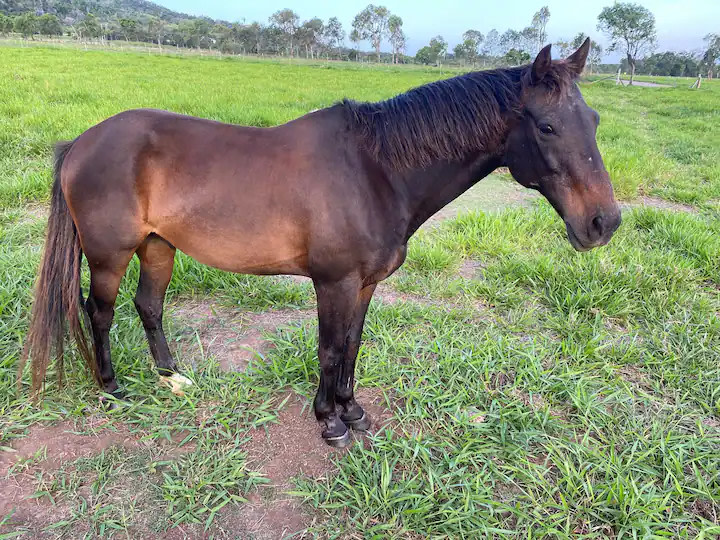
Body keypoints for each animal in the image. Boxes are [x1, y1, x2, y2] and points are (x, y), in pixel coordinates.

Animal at [21, 39, 620, 447]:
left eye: (592, 120)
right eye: (546, 126)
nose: (604, 223)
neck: (377, 170)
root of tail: (81, 143)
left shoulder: (365, 285)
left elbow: (352, 345)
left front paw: (352, 410)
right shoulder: (334, 283)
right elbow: (330, 348)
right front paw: (329, 420)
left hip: (159, 246)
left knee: (149, 305)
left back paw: (173, 377)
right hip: (110, 255)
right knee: (99, 311)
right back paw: (110, 386)